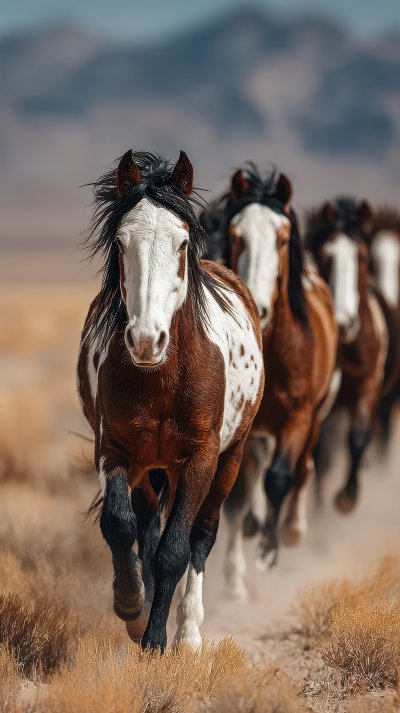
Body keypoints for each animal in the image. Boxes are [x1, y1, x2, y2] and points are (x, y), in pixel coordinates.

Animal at [77, 150, 264, 651]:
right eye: (121, 242)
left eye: (181, 244)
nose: (146, 340)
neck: (160, 379)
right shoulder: (114, 449)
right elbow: (121, 524)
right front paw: (130, 604)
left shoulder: (200, 457)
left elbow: (175, 550)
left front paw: (158, 639)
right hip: (152, 465)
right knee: (146, 525)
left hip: (228, 460)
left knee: (201, 535)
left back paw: (189, 632)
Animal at [209, 165, 338, 596]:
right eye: (236, 235)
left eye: (282, 238)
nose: (258, 308)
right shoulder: (239, 427)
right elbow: (235, 498)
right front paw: (234, 577)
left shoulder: (298, 417)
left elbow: (281, 478)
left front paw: (270, 549)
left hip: (315, 417)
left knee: (304, 468)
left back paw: (292, 528)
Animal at [305, 198, 391, 511]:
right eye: (325, 256)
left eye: (362, 258)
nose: (343, 322)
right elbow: (320, 454)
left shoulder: (369, 385)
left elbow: (358, 436)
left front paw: (347, 497)